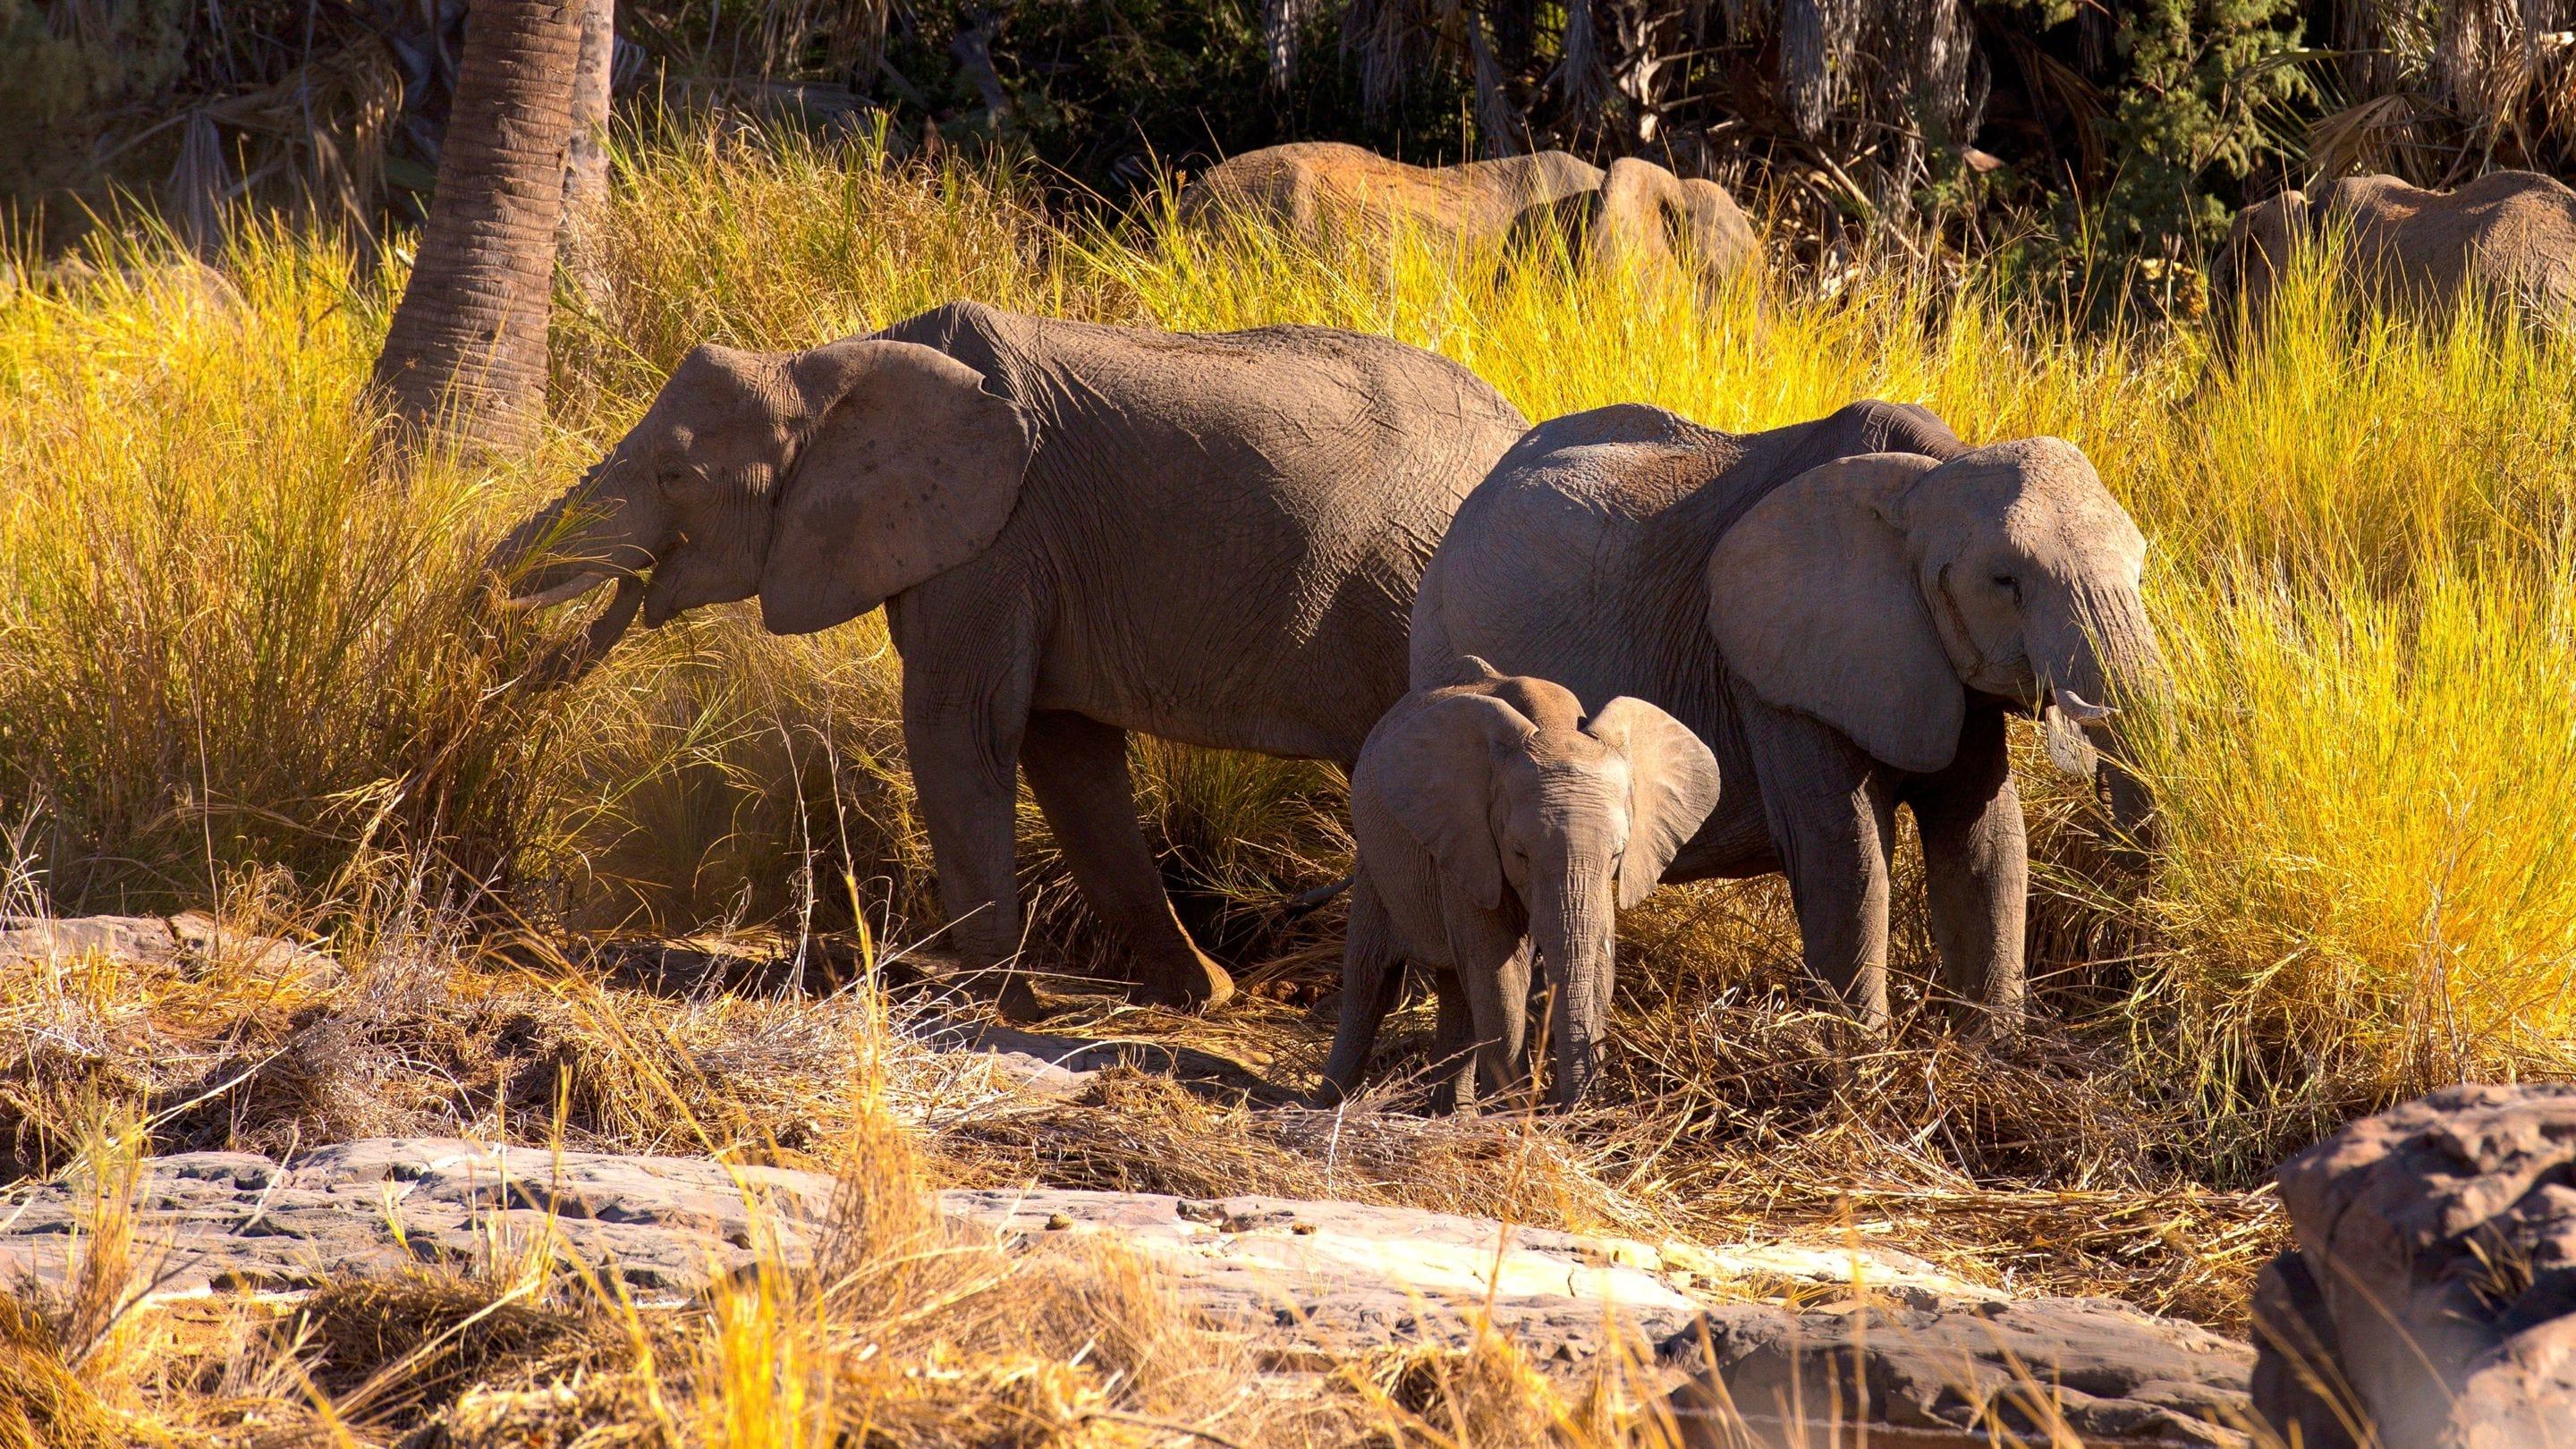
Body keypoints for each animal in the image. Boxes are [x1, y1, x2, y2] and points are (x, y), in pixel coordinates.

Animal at [487, 299, 1524, 1010]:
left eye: (675, 476)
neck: (832, 363)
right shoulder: (1011, 550)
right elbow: (1065, 754)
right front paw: (1201, 994)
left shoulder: (997, 538)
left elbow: (962, 726)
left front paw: (995, 1003)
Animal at [1318, 655, 1720, 1103]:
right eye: (1519, 854)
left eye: (1618, 854)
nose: (1564, 1102)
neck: (1555, 726)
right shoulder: (1468, 838)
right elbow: (1499, 970)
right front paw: (1511, 1110)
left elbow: (1596, 958)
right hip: (1373, 857)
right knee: (1371, 979)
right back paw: (1328, 1105)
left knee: (1457, 987)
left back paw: (1455, 1111)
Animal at [1411, 396, 2174, 1026]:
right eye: (2005, 581)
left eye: (2142, 570)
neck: (1932, 472)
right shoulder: (1774, 672)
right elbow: (1847, 858)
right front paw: (1862, 1077)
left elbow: (1987, 845)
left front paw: (1989, 1055)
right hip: (1446, 651)